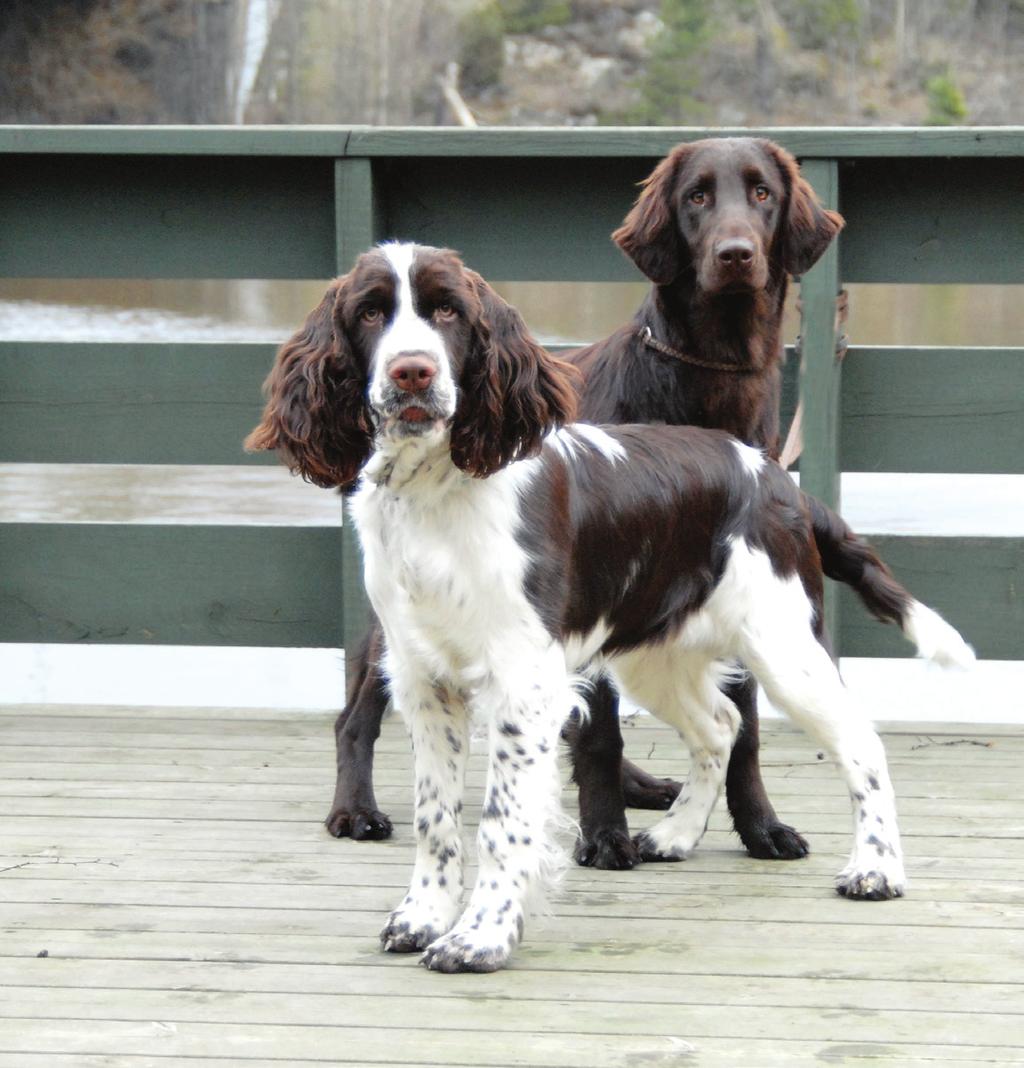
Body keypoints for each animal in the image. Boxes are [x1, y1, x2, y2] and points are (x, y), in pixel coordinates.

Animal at [246, 244, 969, 978]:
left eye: (447, 311)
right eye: (369, 314)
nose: (412, 371)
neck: (437, 492)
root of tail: (775, 477)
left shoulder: (523, 681)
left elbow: (502, 822)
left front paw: (480, 939)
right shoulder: (425, 679)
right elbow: (436, 817)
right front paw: (422, 918)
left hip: (784, 645)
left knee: (858, 740)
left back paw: (877, 871)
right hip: (658, 655)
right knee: (721, 724)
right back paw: (675, 834)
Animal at [326, 135, 841, 867]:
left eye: (762, 192)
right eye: (698, 196)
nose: (735, 253)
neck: (703, 384)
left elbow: (743, 728)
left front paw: (760, 826)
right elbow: (600, 732)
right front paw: (605, 835)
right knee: (356, 713)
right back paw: (354, 808)